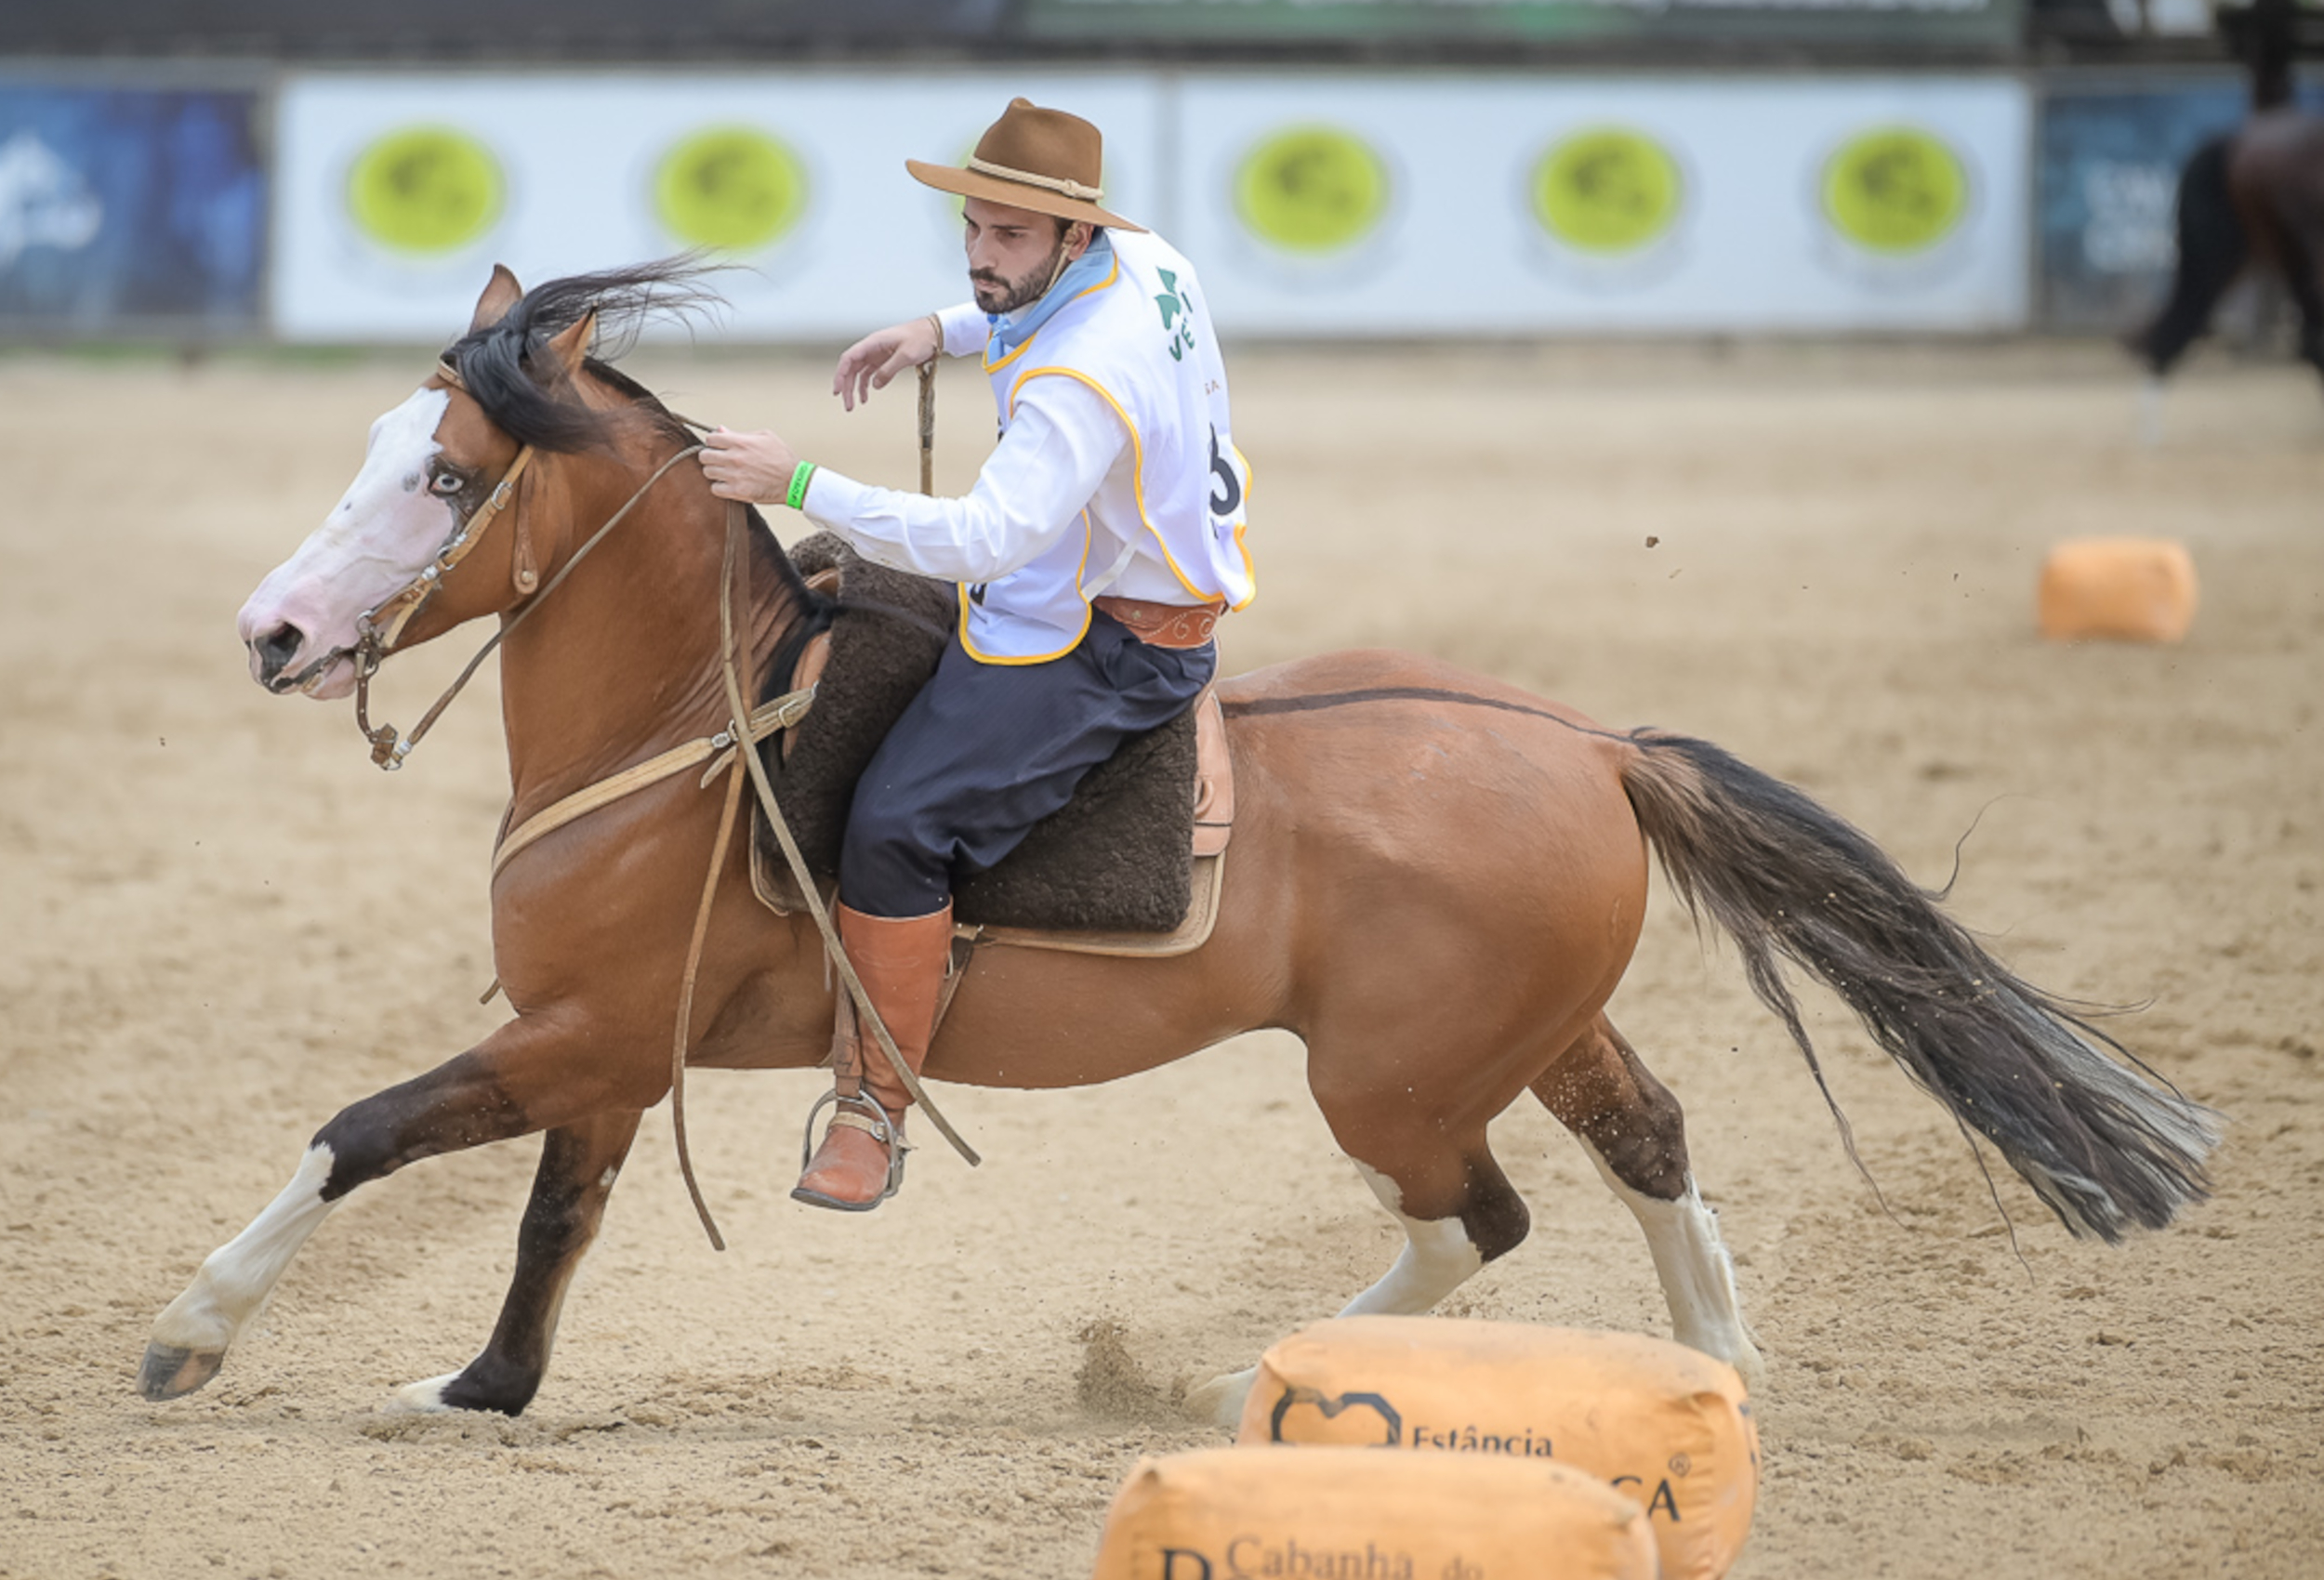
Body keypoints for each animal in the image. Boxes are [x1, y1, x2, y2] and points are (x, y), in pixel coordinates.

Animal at [145, 265, 2212, 1422]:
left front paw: (191, 1337)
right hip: (1538, 1035)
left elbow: (357, 1135)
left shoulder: (577, 1039)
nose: (268, 633)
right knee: (1642, 1146)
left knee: (1471, 1217)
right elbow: (548, 1225)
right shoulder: (600, 1053)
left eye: (444, 475)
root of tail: (1588, 746)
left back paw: (1247, 1378)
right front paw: (481, 1388)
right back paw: (1711, 1370)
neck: (687, 726)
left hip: (1388, 1077)